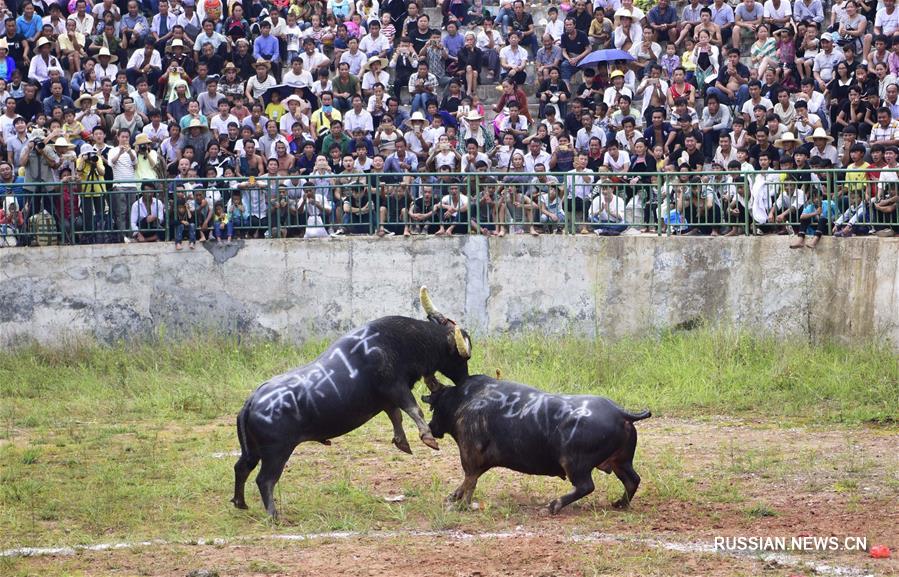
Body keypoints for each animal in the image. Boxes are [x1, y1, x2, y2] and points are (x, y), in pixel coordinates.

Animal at [232, 286, 474, 516]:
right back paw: (273, 514)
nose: (465, 379)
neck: (402, 342)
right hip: (276, 453)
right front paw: (428, 438)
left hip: (253, 451)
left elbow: (396, 416)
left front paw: (402, 442)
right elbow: (413, 409)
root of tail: (251, 401)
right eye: (457, 356)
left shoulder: (386, 400)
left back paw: (240, 503)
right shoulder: (395, 388)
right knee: (264, 480)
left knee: (241, 467)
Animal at [426, 374, 652, 512]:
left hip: (574, 463)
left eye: (434, 407)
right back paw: (620, 503)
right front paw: (453, 497)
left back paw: (554, 505)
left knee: (586, 486)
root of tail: (620, 412)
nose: (430, 426)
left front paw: (461, 504)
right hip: (620, 462)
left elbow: (469, 480)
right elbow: (467, 481)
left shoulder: (470, 454)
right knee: (632, 480)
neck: (467, 400)